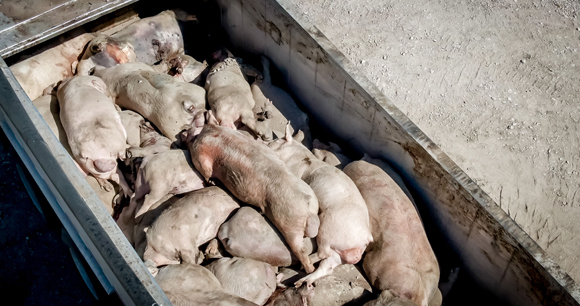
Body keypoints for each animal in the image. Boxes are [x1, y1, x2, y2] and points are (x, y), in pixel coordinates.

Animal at [186, 114, 320, 272]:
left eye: (192, 136)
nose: (185, 132)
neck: (213, 132)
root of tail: (308, 209)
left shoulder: (201, 157)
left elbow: (205, 172)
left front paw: (212, 181)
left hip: (288, 222)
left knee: (300, 249)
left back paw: (308, 270)